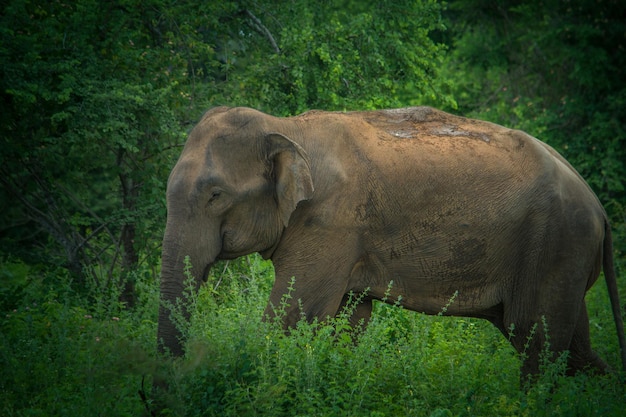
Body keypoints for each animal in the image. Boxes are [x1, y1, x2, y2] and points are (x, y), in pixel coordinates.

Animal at [157, 105, 624, 380]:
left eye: (215, 195)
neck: (286, 128)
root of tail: (599, 207)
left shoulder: (330, 223)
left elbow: (293, 319)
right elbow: (346, 323)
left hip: (556, 245)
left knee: (535, 339)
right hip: (564, 256)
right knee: (572, 348)